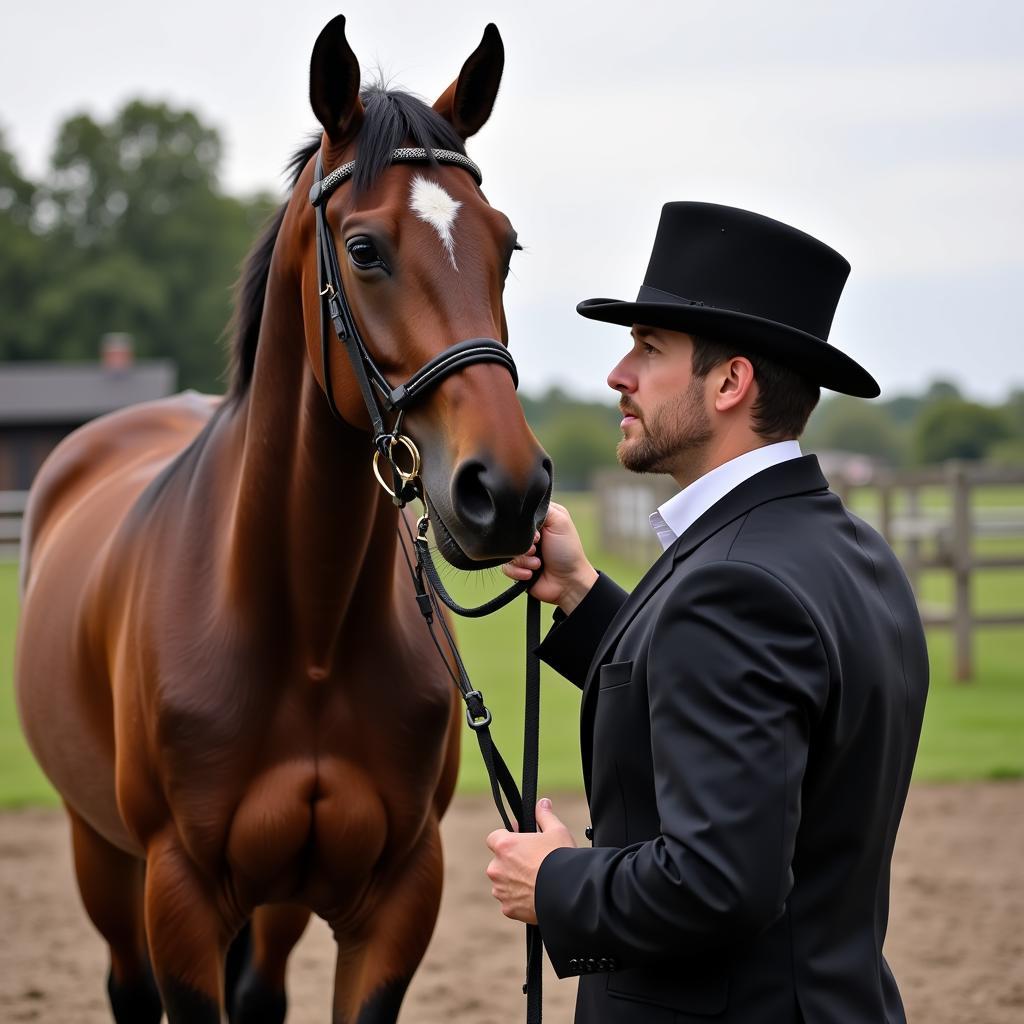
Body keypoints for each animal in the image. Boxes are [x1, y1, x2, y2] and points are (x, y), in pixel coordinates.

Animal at [14, 18, 552, 1024]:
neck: (307, 635)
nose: (506, 492)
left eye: (505, 247)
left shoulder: (396, 900)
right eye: (366, 249)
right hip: (99, 855)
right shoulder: (177, 899)